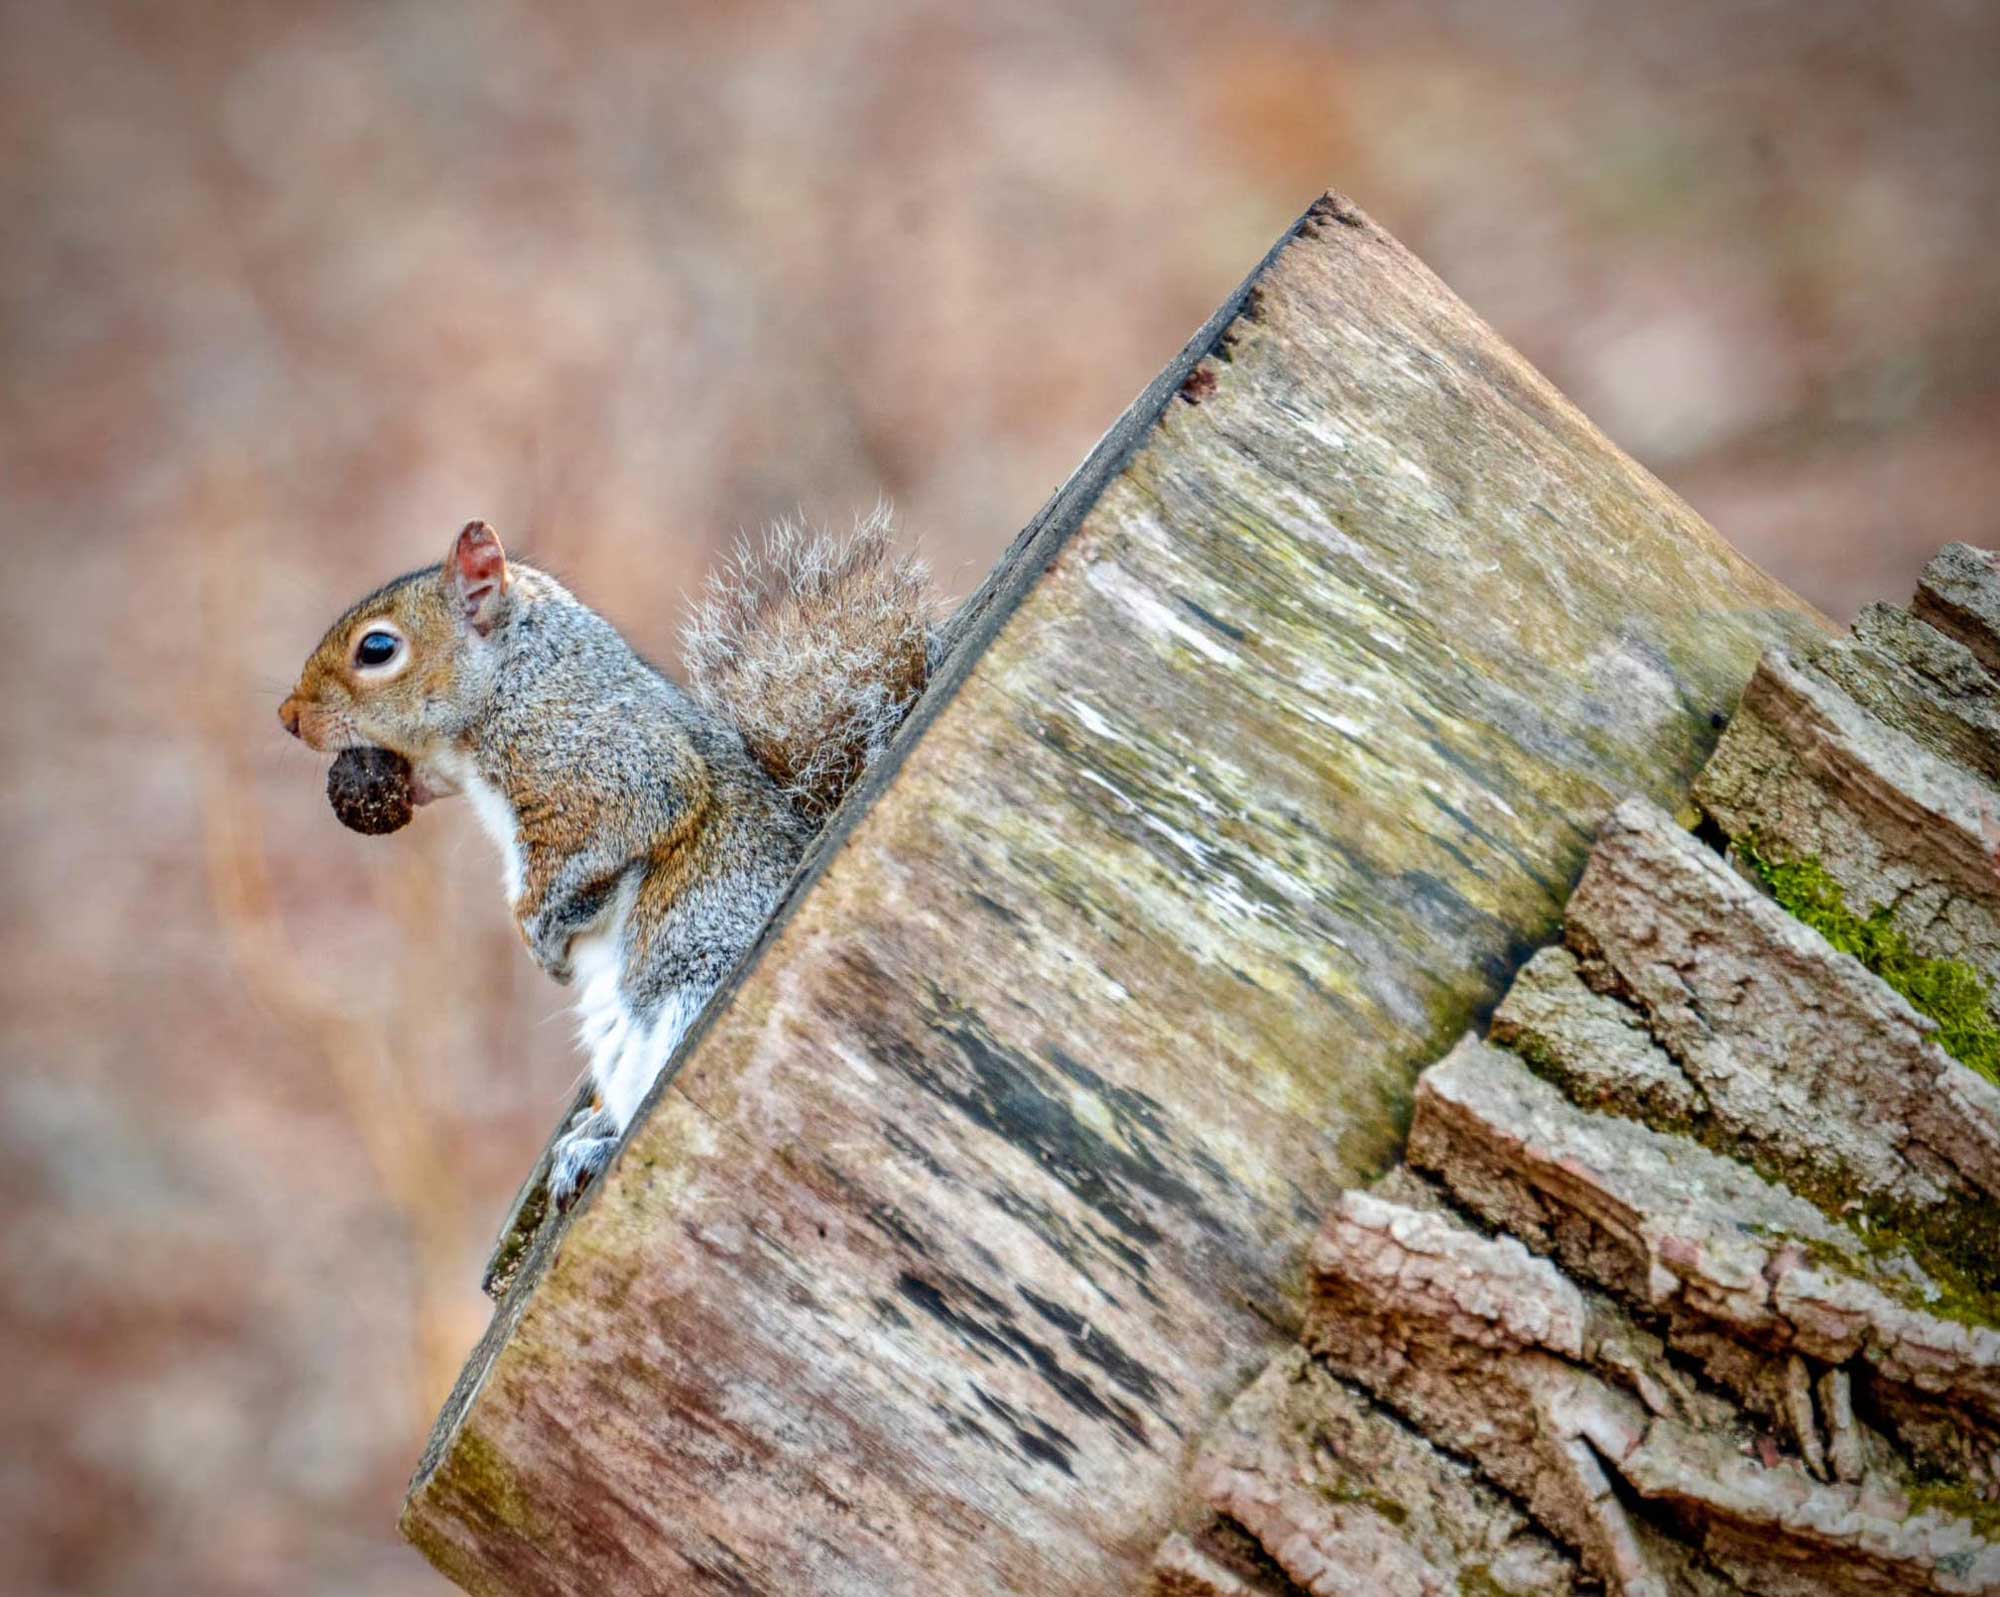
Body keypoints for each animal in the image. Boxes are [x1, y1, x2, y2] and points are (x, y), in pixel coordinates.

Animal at [279, 509, 936, 1206]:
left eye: (377, 650)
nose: (288, 716)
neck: (517, 677)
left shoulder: (605, 764)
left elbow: (599, 846)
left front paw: (540, 935)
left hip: (689, 986)